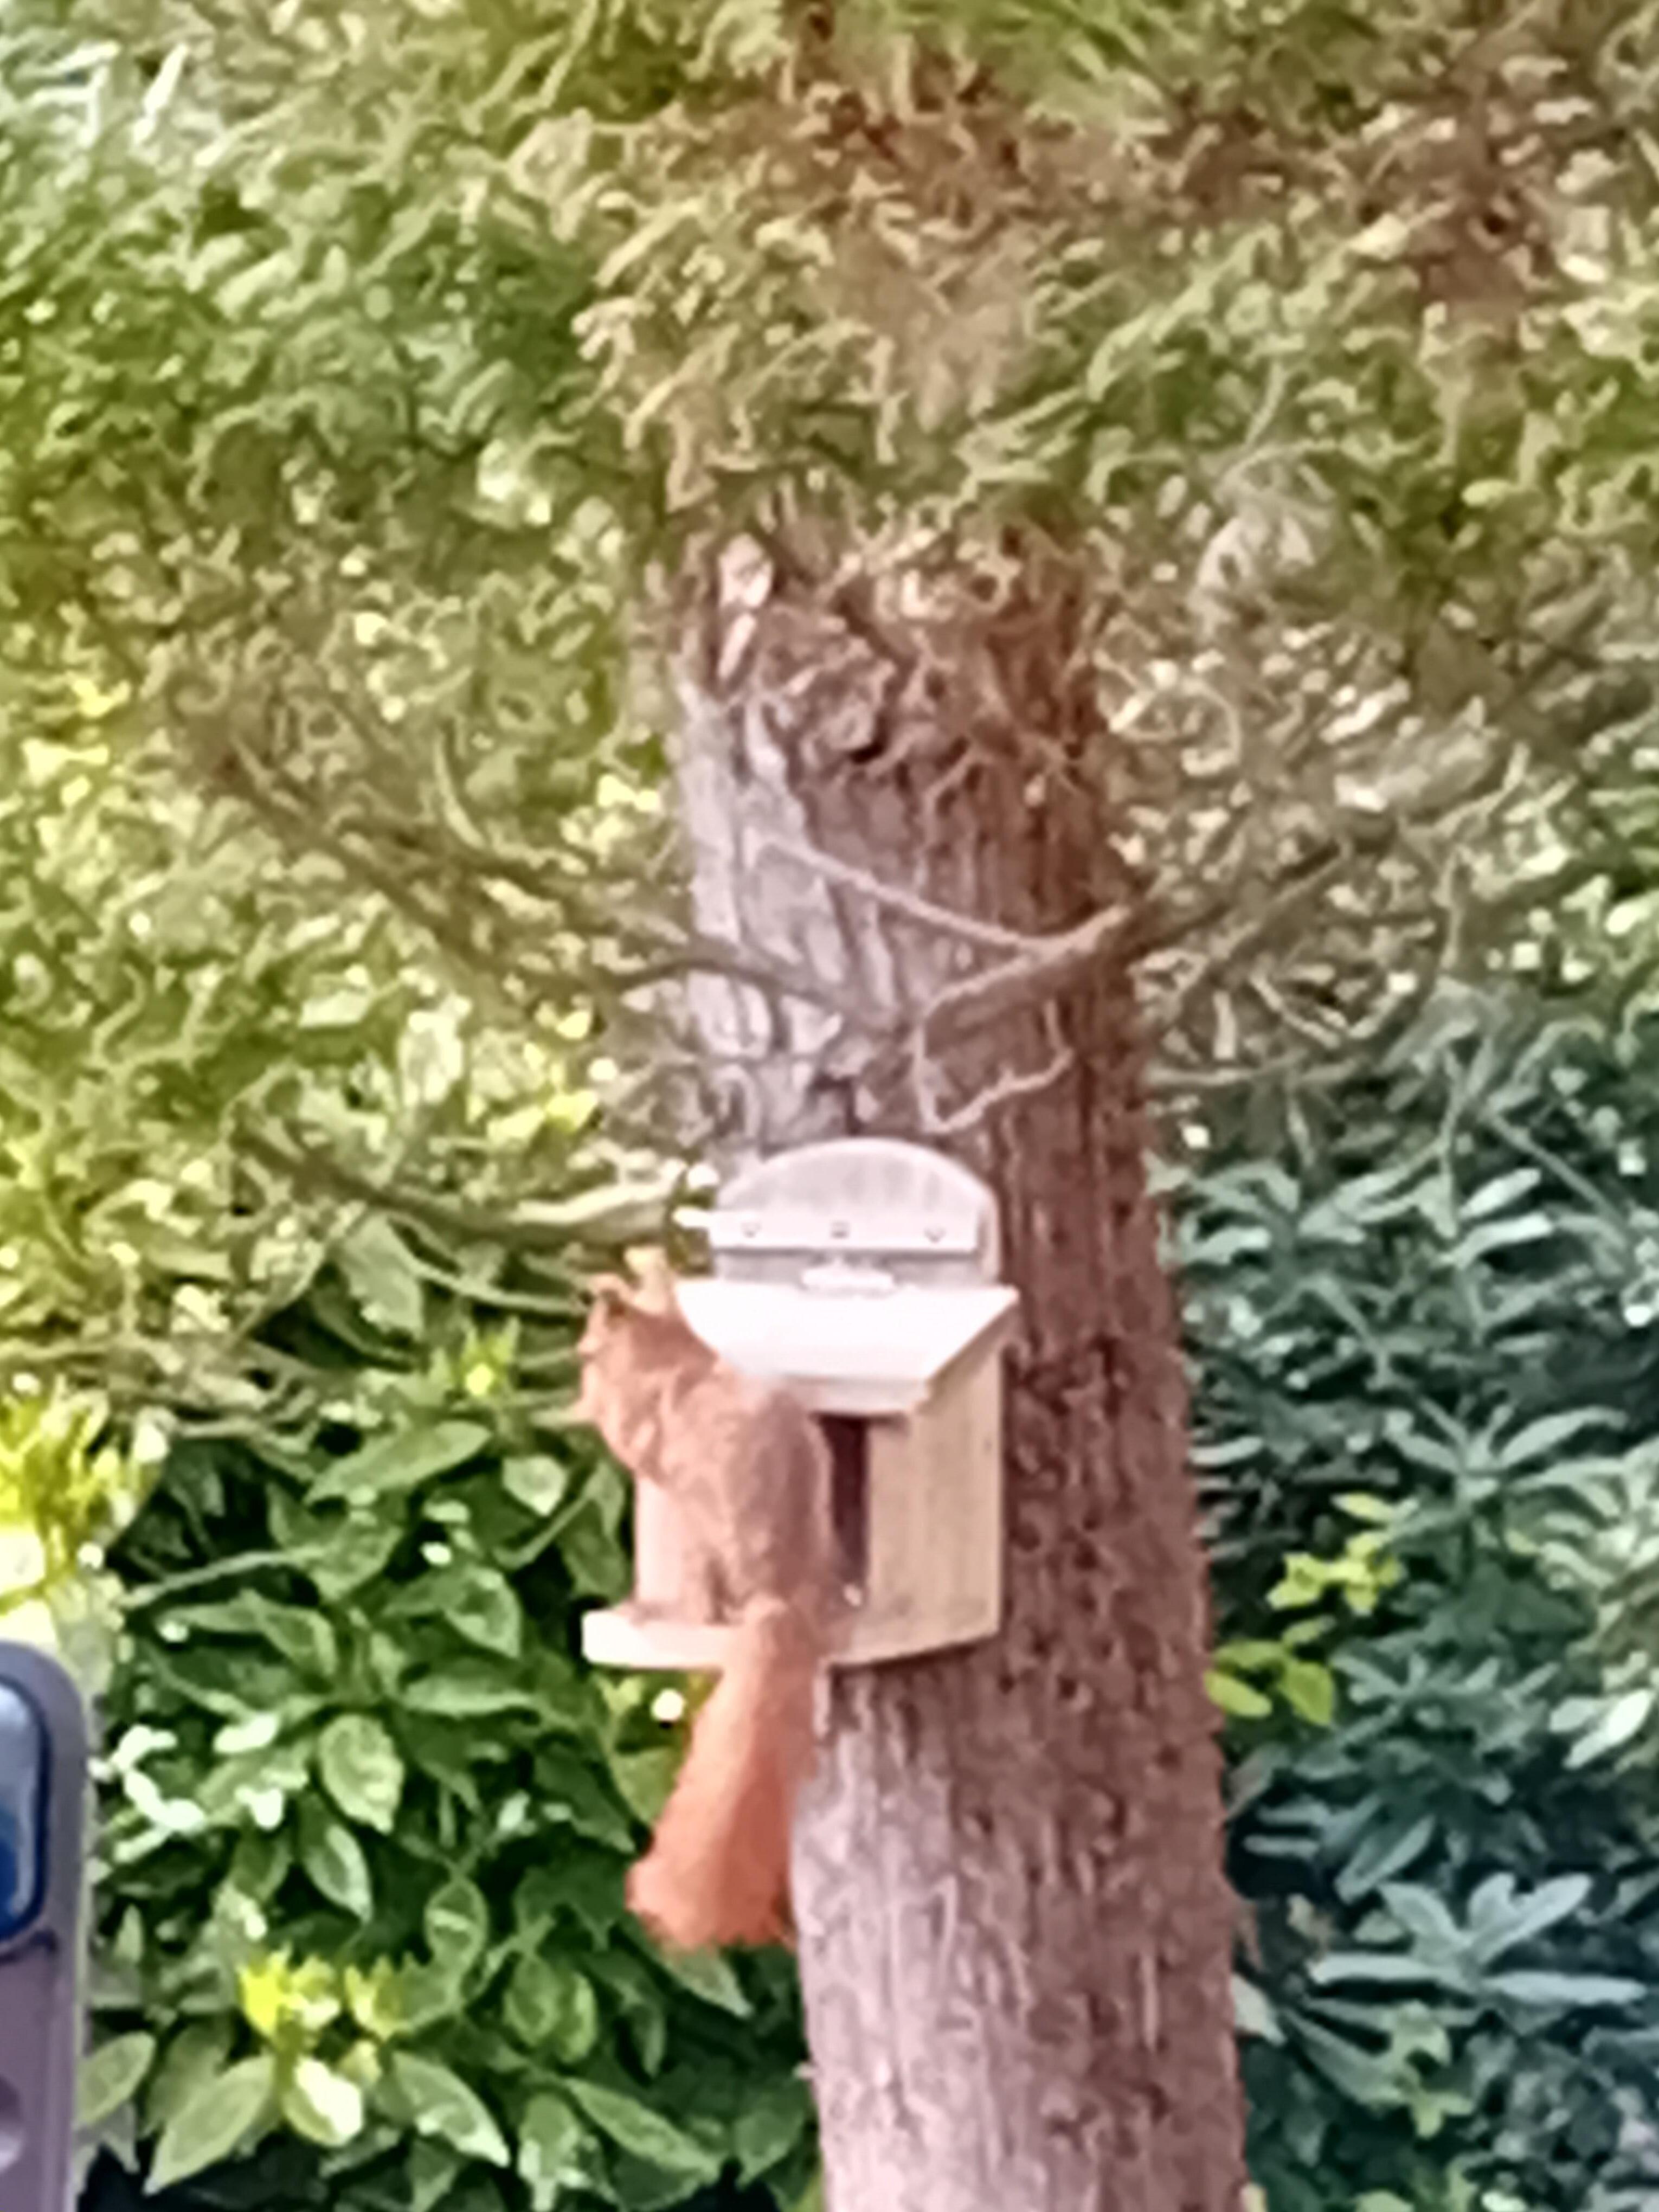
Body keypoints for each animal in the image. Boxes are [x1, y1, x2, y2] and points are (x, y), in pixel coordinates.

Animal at [575, 1258, 843, 1952]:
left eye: (592, 1346)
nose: (579, 1363)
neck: (678, 1349)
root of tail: (781, 1595)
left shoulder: (642, 1423)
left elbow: (625, 1435)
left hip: (700, 1535)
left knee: (702, 1608)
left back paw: (654, 1610)